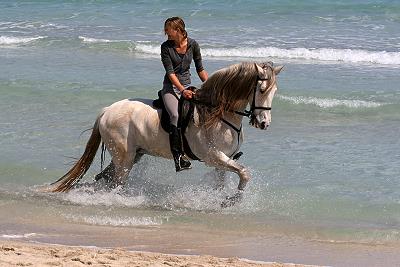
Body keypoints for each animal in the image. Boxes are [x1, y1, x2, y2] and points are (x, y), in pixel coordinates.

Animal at [48, 62, 282, 207]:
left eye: (274, 91)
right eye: (261, 90)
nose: (264, 123)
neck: (216, 114)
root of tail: (106, 111)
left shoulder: (224, 160)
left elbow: (223, 182)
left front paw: (218, 200)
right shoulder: (213, 157)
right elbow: (245, 173)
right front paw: (231, 201)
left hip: (133, 155)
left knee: (104, 178)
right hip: (124, 158)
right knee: (115, 182)